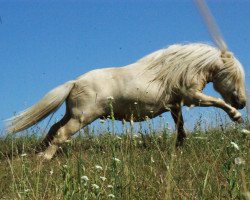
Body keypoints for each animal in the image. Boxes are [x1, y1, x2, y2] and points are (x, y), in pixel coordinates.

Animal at [5, 43, 246, 160]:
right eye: (234, 75)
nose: (242, 102)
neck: (180, 69)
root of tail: (74, 82)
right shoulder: (192, 96)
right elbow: (218, 102)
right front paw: (236, 117)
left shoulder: (175, 104)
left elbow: (180, 125)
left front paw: (180, 144)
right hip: (82, 118)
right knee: (61, 133)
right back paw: (45, 158)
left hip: (72, 114)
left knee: (54, 128)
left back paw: (38, 151)